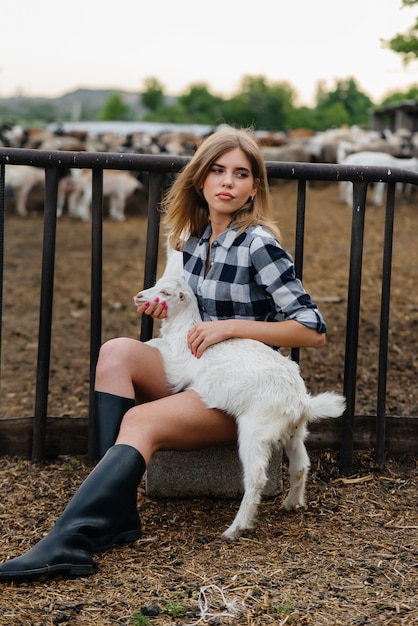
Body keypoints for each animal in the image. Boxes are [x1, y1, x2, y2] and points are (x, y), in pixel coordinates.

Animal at [134, 276, 346, 540]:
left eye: (165, 292)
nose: (139, 297)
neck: (184, 331)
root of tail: (299, 401)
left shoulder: (177, 366)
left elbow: (158, 346)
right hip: (295, 431)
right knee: (300, 465)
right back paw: (291, 504)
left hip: (256, 431)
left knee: (256, 477)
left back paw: (236, 528)